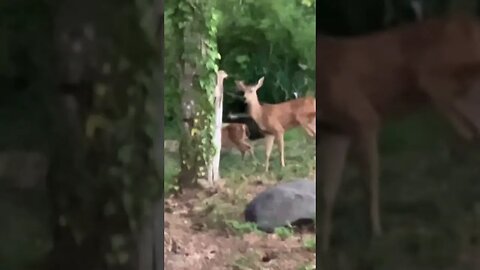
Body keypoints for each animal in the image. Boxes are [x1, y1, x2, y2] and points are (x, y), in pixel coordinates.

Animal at [316, 14, 480, 251]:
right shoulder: (336, 132)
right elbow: (328, 192)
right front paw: (325, 247)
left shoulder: (365, 118)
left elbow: (369, 181)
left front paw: (375, 234)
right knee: (472, 134)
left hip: (440, 83)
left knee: (470, 134)